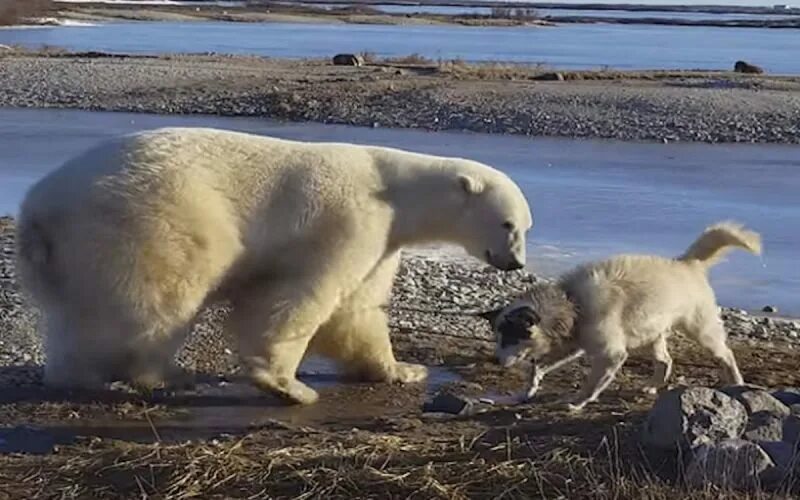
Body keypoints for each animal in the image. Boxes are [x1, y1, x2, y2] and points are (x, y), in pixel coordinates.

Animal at [14, 127, 532, 404]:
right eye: (508, 223)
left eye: (526, 225)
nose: (516, 263)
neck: (396, 189)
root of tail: (39, 207)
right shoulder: (351, 218)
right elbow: (304, 294)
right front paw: (287, 385)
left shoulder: (384, 240)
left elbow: (359, 310)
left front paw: (403, 369)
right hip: (155, 220)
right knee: (160, 300)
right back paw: (160, 374)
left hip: (73, 252)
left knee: (77, 313)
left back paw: (74, 375)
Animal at [482, 222, 764, 410]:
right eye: (498, 337)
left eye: (510, 337)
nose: (495, 360)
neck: (572, 302)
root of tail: (687, 264)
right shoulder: (572, 346)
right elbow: (537, 367)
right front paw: (528, 389)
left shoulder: (610, 355)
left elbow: (592, 383)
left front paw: (578, 402)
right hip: (651, 333)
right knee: (665, 361)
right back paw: (653, 385)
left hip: (701, 330)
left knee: (725, 354)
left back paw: (736, 381)